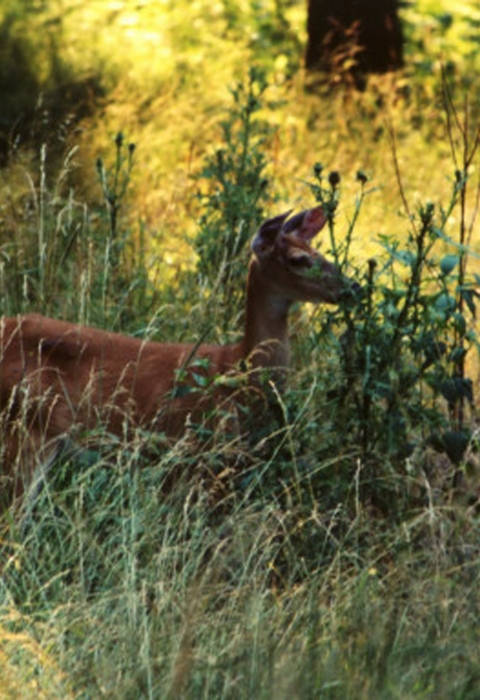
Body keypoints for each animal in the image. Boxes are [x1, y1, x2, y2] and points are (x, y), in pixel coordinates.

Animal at [0, 206, 357, 507]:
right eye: (298, 258)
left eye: (319, 251)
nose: (352, 287)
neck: (238, 372)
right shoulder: (192, 454)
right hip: (25, 431)